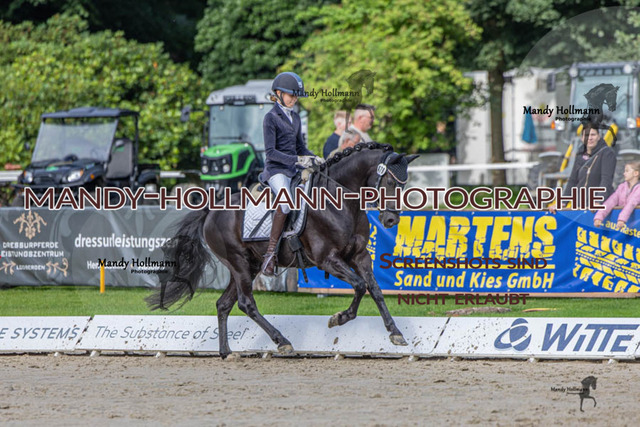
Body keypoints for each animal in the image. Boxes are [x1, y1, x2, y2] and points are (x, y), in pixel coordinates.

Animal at [147, 142, 418, 359]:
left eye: (405, 184)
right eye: (390, 181)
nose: (391, 220)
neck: (338, 201)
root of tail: (212, 209)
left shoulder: (360, 256)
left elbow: (375, 289)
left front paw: (395, 333)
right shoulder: (327, 259)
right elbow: (360, 286)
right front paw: (338, 319)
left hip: (249, 265)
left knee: (224, 304)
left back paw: (227, 352)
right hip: (239, 263)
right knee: (246, 303)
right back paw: (282, 342)